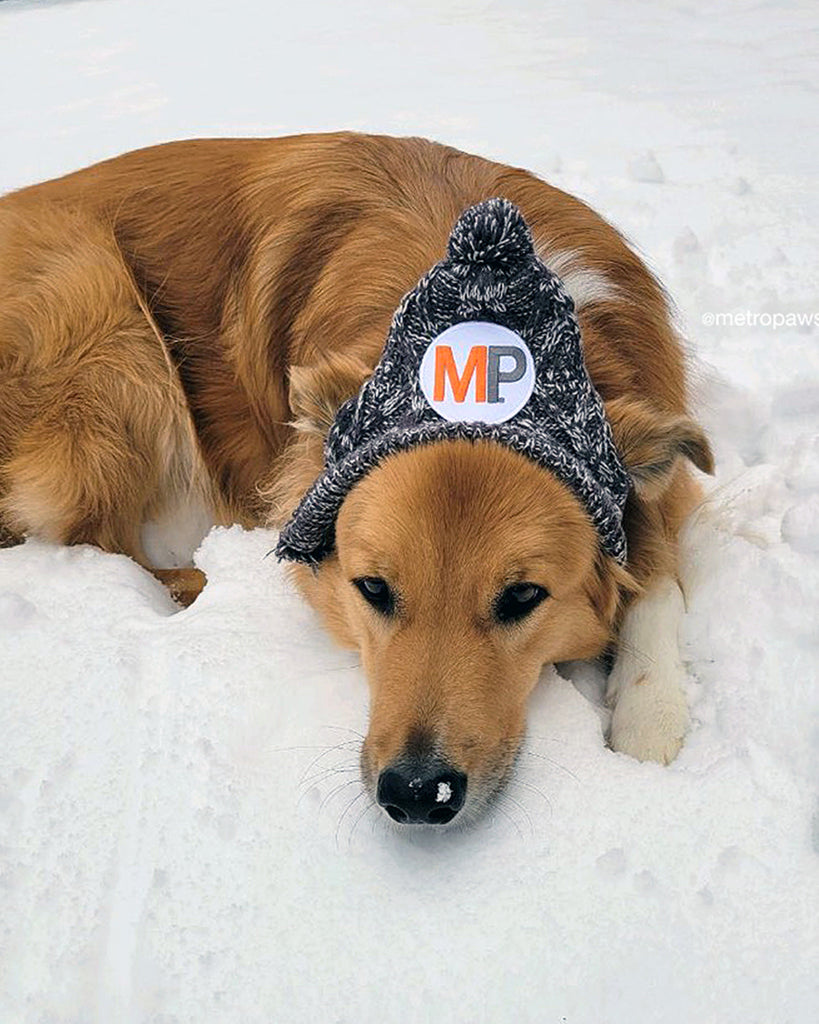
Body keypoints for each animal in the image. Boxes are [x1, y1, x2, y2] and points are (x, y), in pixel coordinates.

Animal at [0, 134, 712, 823]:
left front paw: (650, 713)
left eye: (522, 597)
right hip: (107, 316)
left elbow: (656, 578)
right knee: (98, 541)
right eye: (373, 588)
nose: (418, 794)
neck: (487, 303)